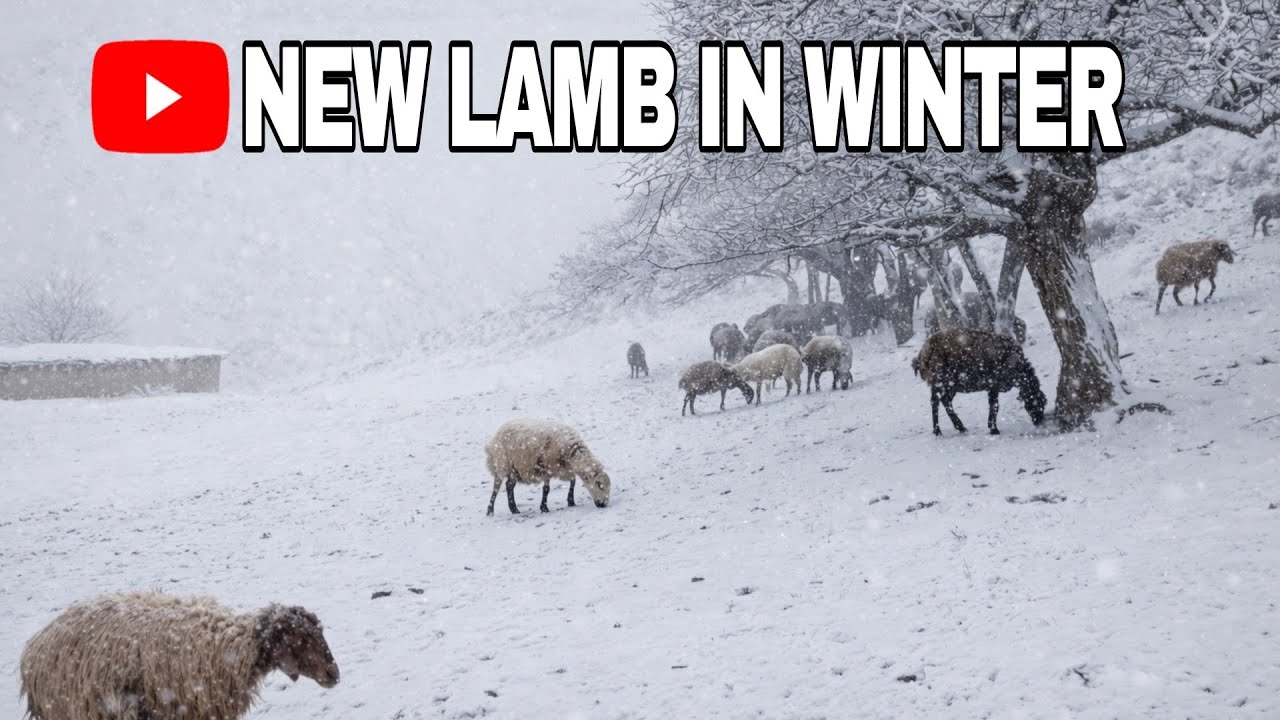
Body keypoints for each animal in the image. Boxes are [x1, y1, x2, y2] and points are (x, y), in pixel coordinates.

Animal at [912, 328, 1047, 436]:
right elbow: (995, 406)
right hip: (940, 381)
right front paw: (994, 430)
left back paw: (957, 428)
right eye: (1035, 402)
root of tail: (923, 352)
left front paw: (991, 426)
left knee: (944, 401)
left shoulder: (993, 387)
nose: (1039, 421)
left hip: (948, 385)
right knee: (937, 403)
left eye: (1044, 403)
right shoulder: (993, 385)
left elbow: (993, 405)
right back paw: (940, 431)